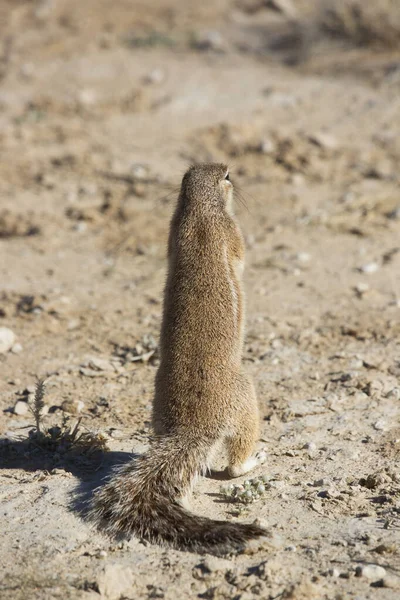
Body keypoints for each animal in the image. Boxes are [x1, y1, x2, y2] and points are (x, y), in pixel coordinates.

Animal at [90, 163, 266, 552]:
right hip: (246, 398)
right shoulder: (231, 231)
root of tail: (191, 429)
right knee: (235, 460)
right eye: (227, 174)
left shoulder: (173, 231)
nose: (232, 172)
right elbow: (241, 257)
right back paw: (253, 460)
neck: (199, 210)